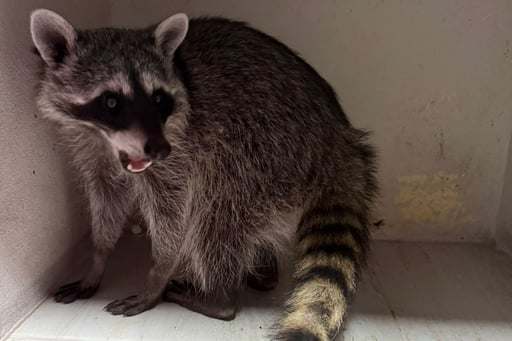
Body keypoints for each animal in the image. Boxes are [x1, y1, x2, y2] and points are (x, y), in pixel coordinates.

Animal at [31, 8, 376, 340]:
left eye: (159, 98)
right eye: (112, 101)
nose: (160, 149)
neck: (110, 142)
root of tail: (339, 138)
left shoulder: (182, 149)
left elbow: (174, 213)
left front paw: (158, 273)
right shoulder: (90, 149)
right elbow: (107, 201)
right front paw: (98, 259)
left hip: (268, 152)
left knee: (216, 220)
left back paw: (218, 298)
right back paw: (262, 268)